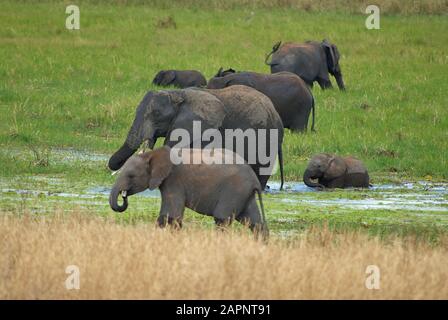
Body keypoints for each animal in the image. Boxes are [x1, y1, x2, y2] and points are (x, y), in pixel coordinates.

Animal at [110, 146, 268, 239]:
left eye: (131, 176)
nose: (123, 195)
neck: (152, 154)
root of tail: (255, 180)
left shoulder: (174, 181)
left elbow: (171, 215)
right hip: (244, 194)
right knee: (254, 222)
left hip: (234, 190)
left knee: (221, 219)